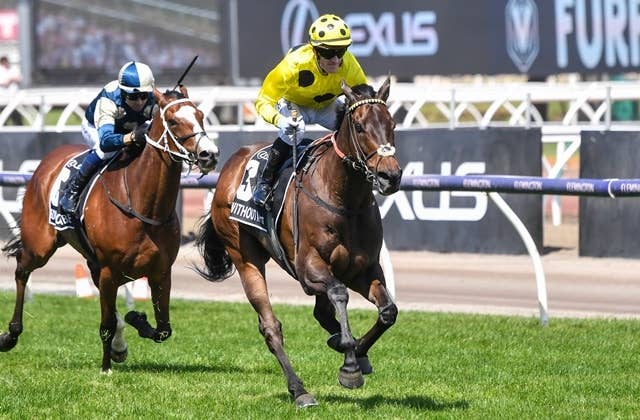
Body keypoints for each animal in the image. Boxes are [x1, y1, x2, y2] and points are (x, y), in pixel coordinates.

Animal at [0, 86, 219, 373]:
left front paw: (135, 320)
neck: (144, 206)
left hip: (91, 262)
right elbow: (106, 324)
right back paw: (10, 334)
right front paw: (105, 367)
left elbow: (163, 329)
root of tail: (48, 162)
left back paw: (119, 343)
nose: (209, 154)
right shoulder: (109, 269)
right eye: (172, 121)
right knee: (21, 268)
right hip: (41, 246)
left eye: (201, 115)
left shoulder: (161, 272)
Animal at [195, 77, 402, 407]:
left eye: (391, 123)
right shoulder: (309, 268)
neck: (343, 199)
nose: (390, 176)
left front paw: (357, 350)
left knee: (322, 312)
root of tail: (231, 164)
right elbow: (339, 294)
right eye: (359, 127)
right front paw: (350, 366)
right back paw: (300, 389)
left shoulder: (363, 269)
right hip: (244, 255)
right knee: (271, 326)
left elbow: (387, 312)